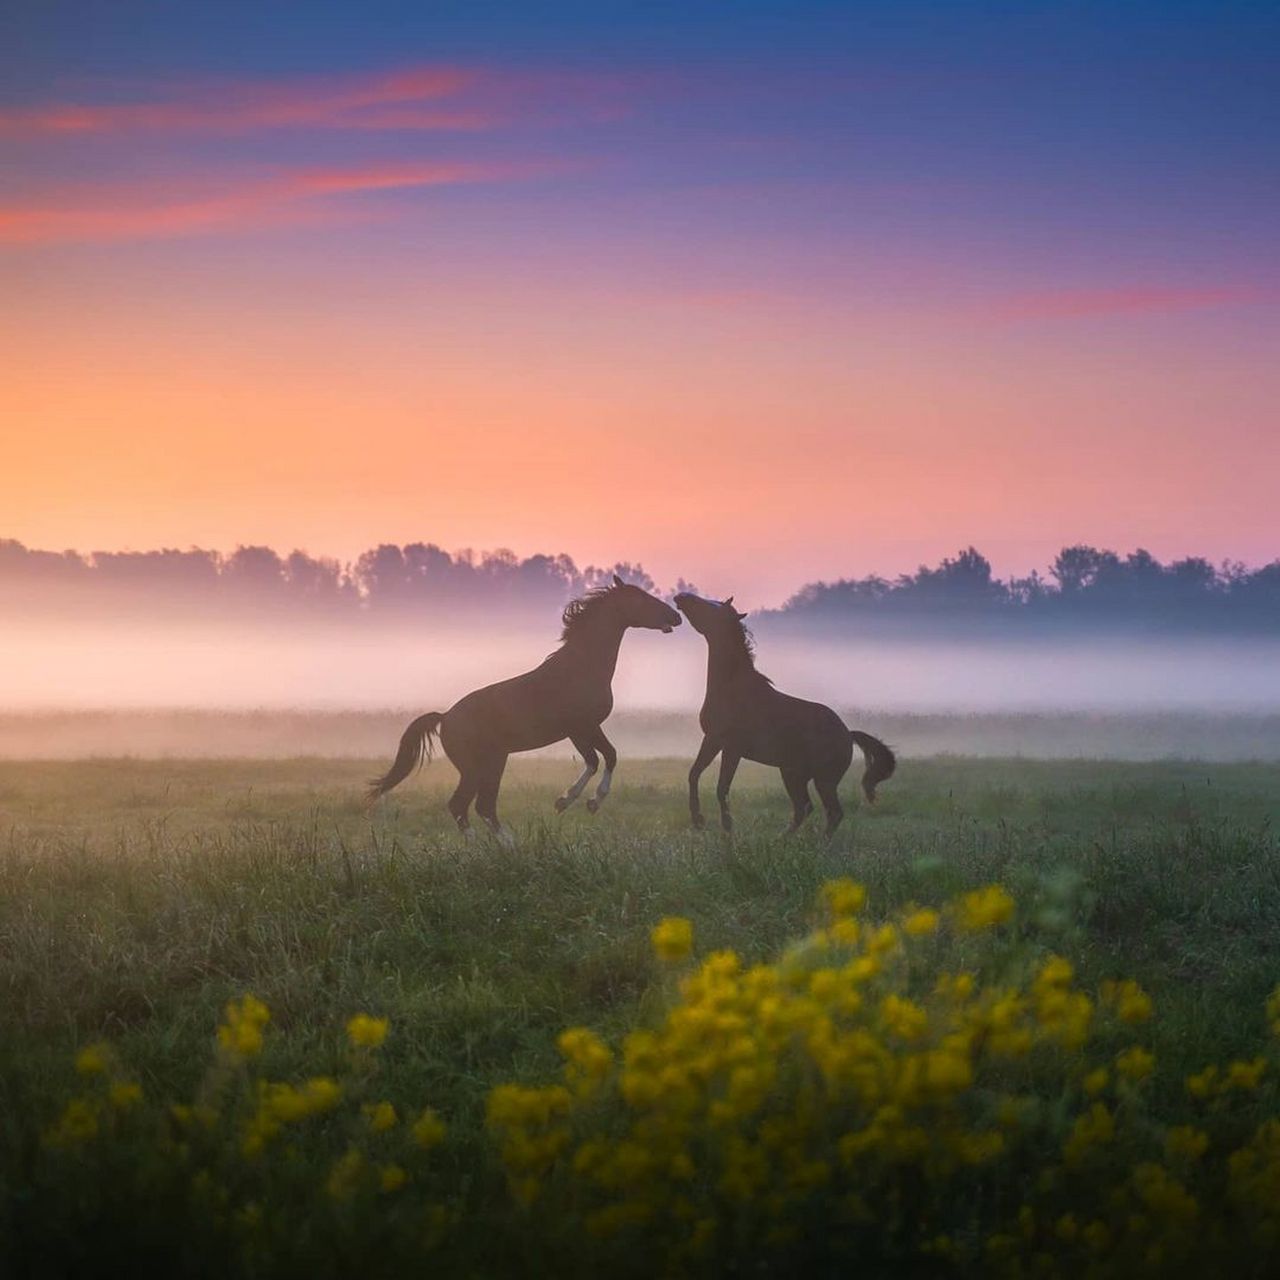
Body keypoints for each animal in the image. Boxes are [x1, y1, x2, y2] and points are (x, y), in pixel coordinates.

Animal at [366, 576, 680, 834]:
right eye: (641, 598)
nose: (675, 616)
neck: (581, 668)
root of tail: (445, 717)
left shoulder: (582, 730)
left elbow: (598, 759)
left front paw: (570, 801)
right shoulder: (582, 727)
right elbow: (606, 757)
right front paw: (579, 801)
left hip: (493, 763)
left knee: (480, 808)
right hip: (476, 767)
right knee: (465, 807)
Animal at [675, 591, 896, 834]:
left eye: (713, 608)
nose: (682, 597)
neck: (732, 687)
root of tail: (848, 734)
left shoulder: (732, 747)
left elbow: (721, 787)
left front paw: (727, 828)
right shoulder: (713, 740)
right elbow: (694, 774)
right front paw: (698, 819)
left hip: (823, 780)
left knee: (832, 812)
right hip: (793, 774)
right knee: (804, 808)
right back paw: (782, 838)